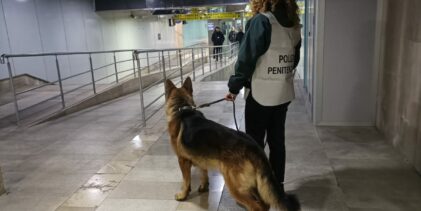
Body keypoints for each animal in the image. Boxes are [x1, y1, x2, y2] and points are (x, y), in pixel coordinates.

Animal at [164, 78, 298, 211]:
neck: (182, 108)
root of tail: (253, 147)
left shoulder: (182, 160)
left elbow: (186, 180)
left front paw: (183, 195)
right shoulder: (201, 157)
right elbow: (204, 173)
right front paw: (203, 187)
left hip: (235, 186)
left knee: (256, 206)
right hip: (252, 185)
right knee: (265, 204)